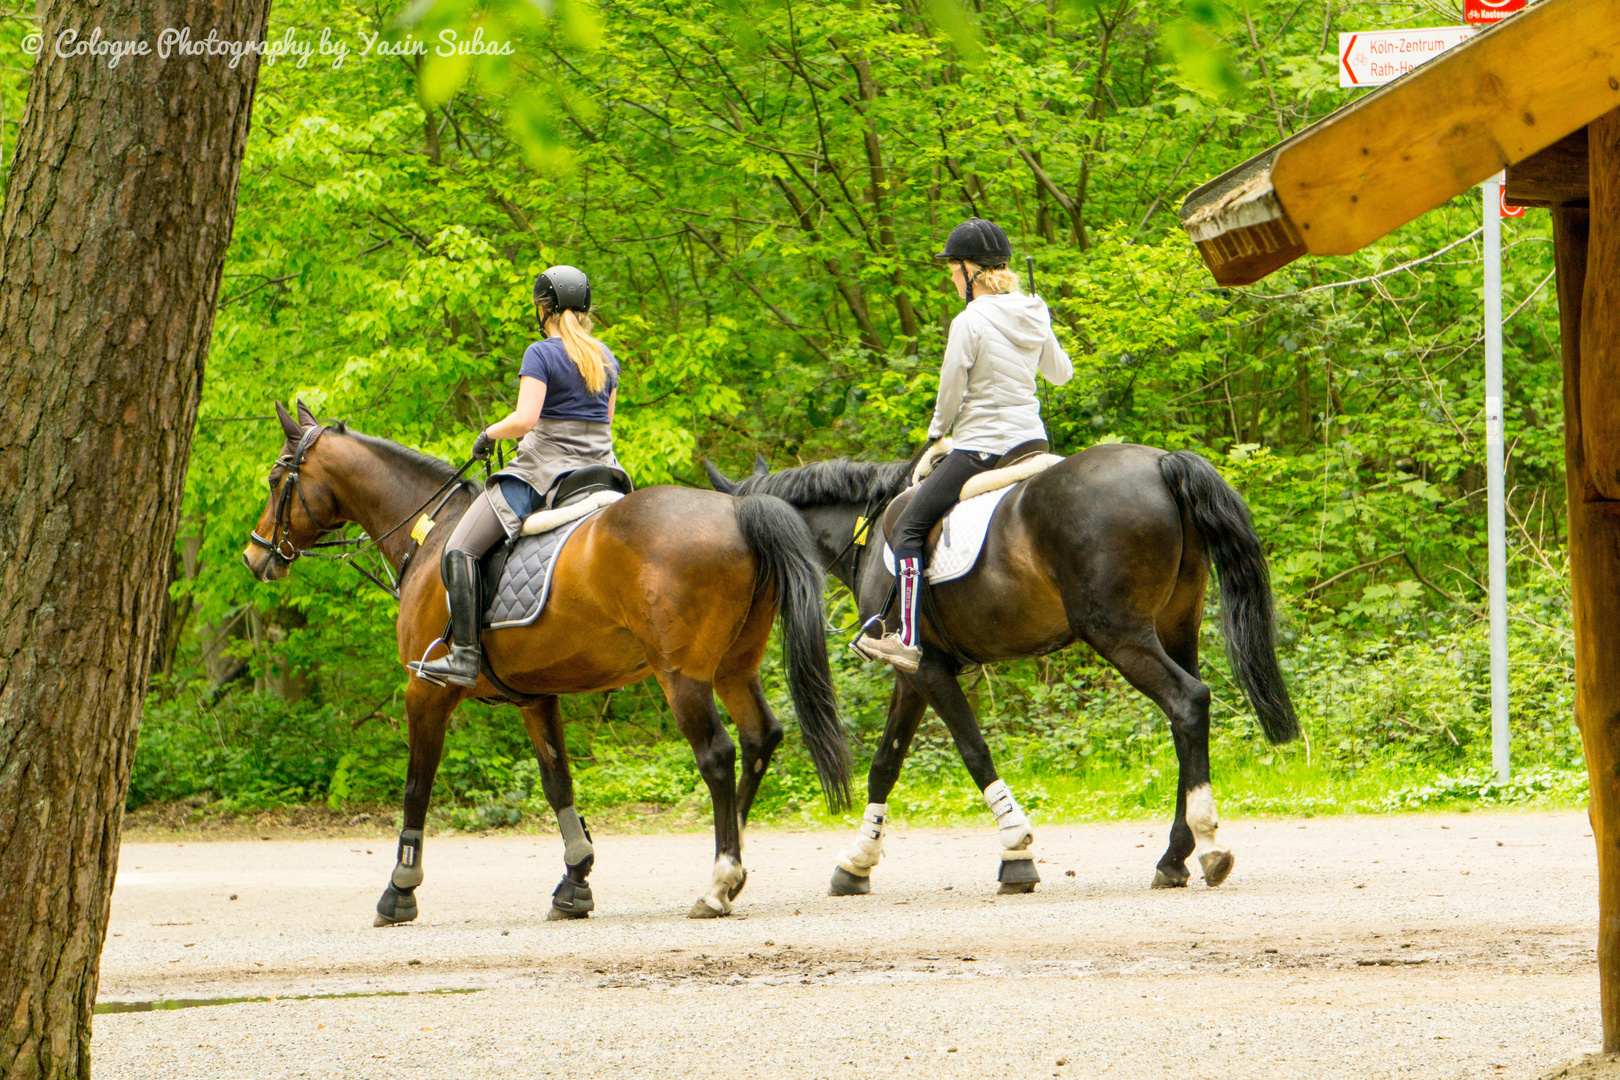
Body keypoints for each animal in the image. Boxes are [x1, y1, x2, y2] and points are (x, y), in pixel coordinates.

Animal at [246, 401, 855, 926]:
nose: (255, 556)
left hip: (682, 676)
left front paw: (399, 890)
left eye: (277, 480)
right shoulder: (535, 696)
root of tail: (736, 508)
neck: (430, 534)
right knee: (760, 738)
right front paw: (574, 883)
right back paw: (735, 869)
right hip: (733, 668)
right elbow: (558, 782)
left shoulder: (426, 690)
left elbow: (417, 785)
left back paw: (718, 880)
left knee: (719, 755)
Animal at [706, 446, 1289, 893]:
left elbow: (972, 749)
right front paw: (857, 863)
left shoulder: (927, 669)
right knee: (1187, 716)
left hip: (1120, 634)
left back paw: (1204, 846)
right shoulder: (911, 674)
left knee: (1188, 701)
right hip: (1175, 627)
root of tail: (1161, 463)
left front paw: (1017, 853)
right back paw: (1176, 857)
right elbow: (886, 764)